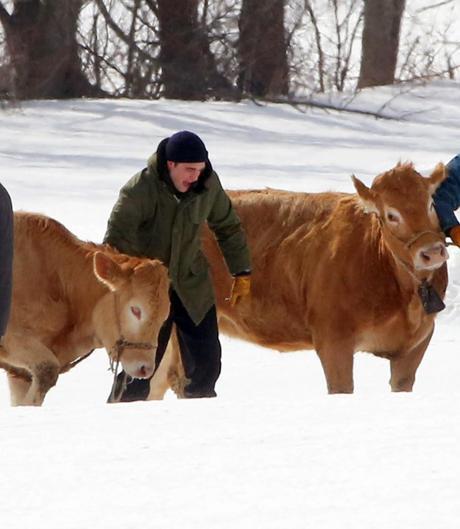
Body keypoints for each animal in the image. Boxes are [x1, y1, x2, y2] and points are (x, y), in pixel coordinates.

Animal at [0, 210, 169, 404]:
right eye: (135, 310)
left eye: (164, 318)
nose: (145, 368)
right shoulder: (13, 339)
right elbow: (47, 370)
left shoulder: (20, 374)